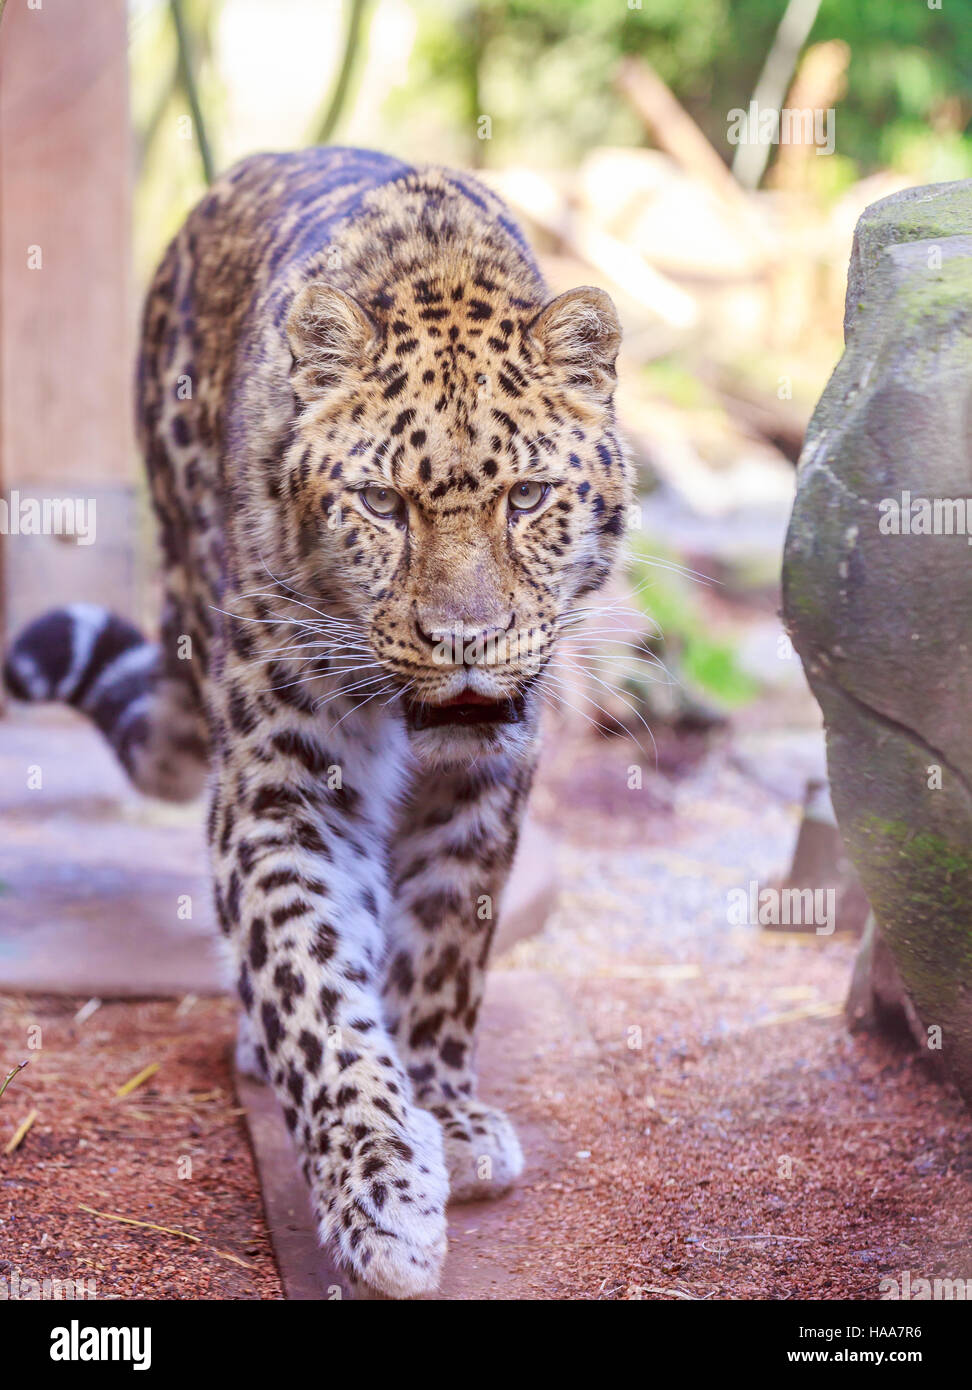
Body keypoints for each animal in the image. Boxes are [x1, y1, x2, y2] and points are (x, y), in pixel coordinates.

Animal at [3, 147, 631, 1298]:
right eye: (382, 505)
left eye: (526, 499)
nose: (465, 640)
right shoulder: (282, 787)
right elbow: (312, 988)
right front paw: (377, 1190)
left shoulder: (485, 782)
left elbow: (443, 949)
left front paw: (444, 1113)